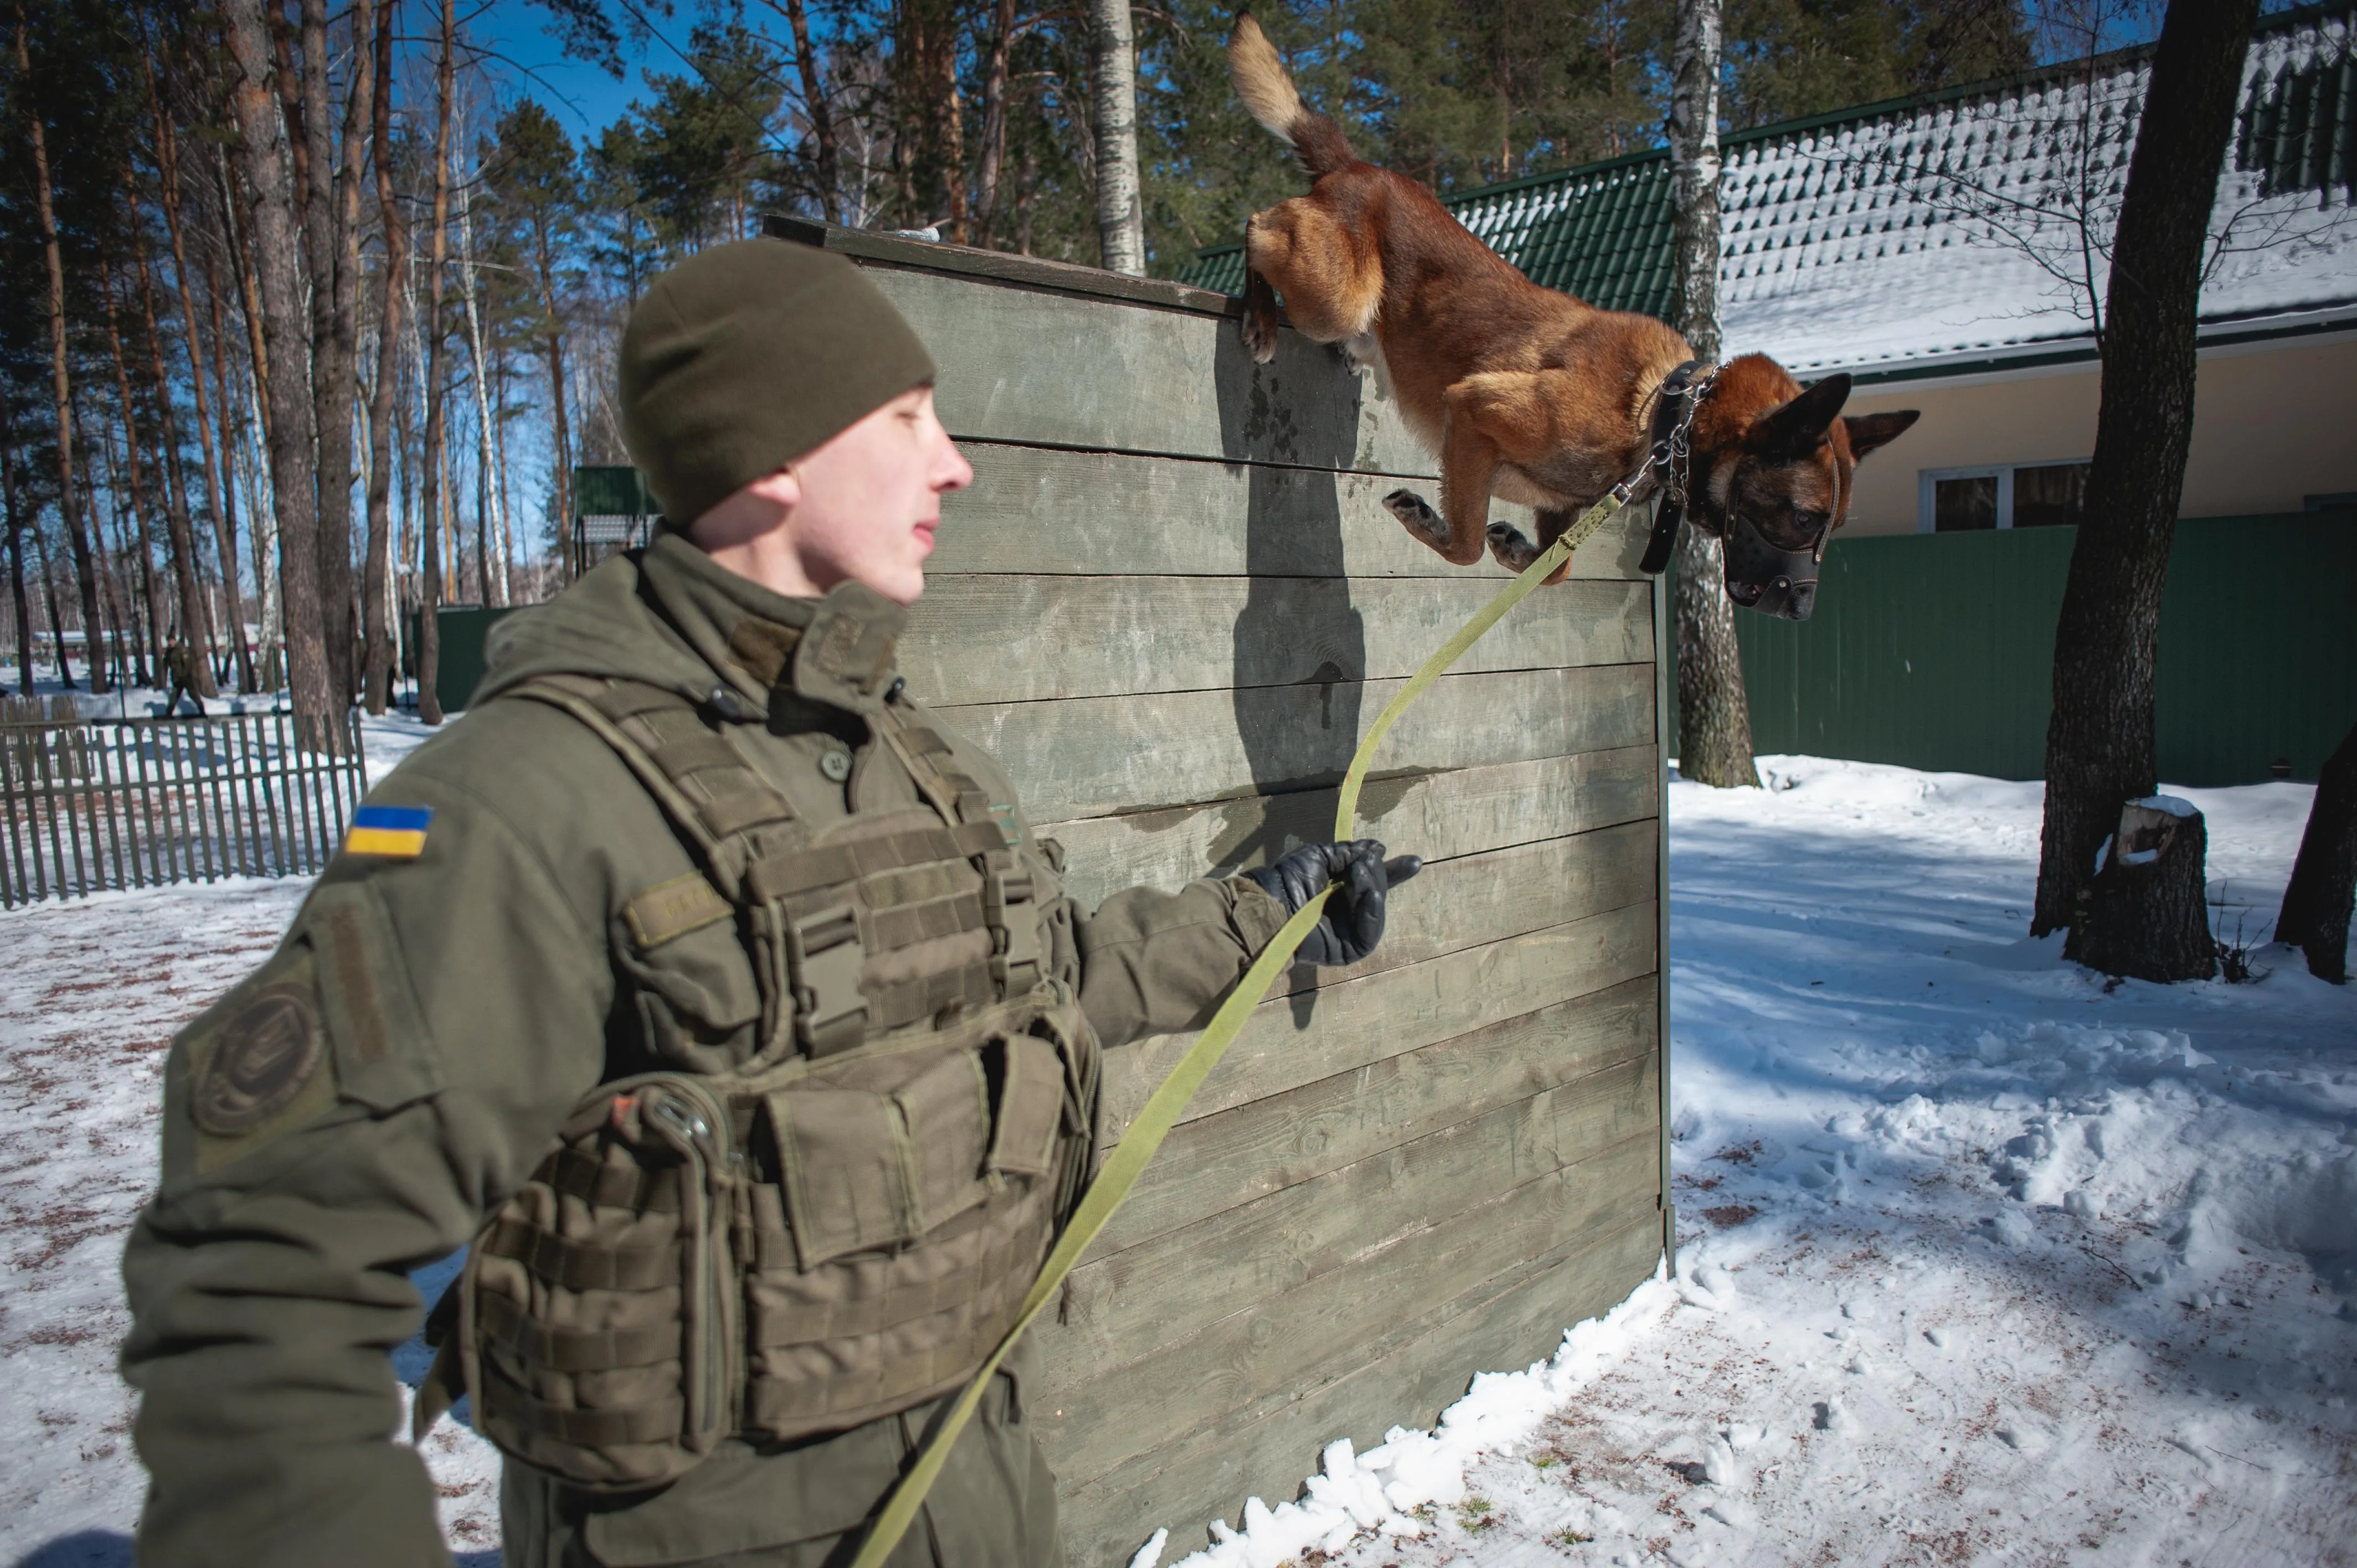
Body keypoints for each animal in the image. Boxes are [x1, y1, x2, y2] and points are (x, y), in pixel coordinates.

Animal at [1226, 19, 1923, 617]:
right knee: (1257, 224)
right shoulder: (1475, 408)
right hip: (1330, 295)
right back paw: (1259, 316)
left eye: (1831, 525)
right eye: (1804, 518)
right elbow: (1466, 546)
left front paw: (1517, 552)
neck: (1662, 413)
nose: (1801, 609)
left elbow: (1553, 569)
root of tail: (1356, 167)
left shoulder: (1558, 509)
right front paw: (1431, 522)